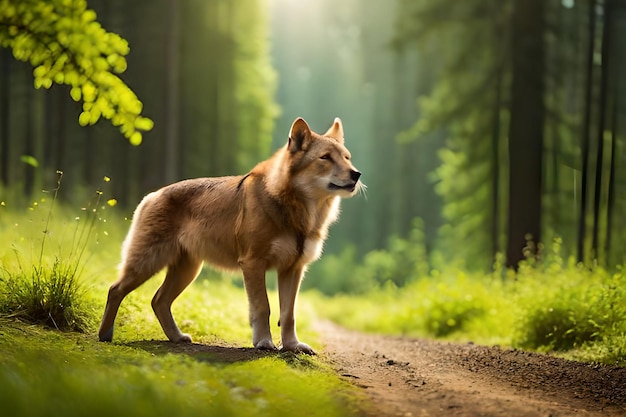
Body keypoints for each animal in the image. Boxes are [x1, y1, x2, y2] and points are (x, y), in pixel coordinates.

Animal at [97, 115, 360, 352]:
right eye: (325, 158)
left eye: (347, 158)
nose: (356, 174)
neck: (297, 210)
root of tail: (152, 195)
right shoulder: (253, 263)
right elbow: (263, 307)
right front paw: (264, 343)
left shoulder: (292, 269)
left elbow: (288, 314)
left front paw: (292, 346)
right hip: (148, 263)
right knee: (115, 289)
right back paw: (105, 335)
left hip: (187, 270)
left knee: (158, 301)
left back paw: (177, 337)